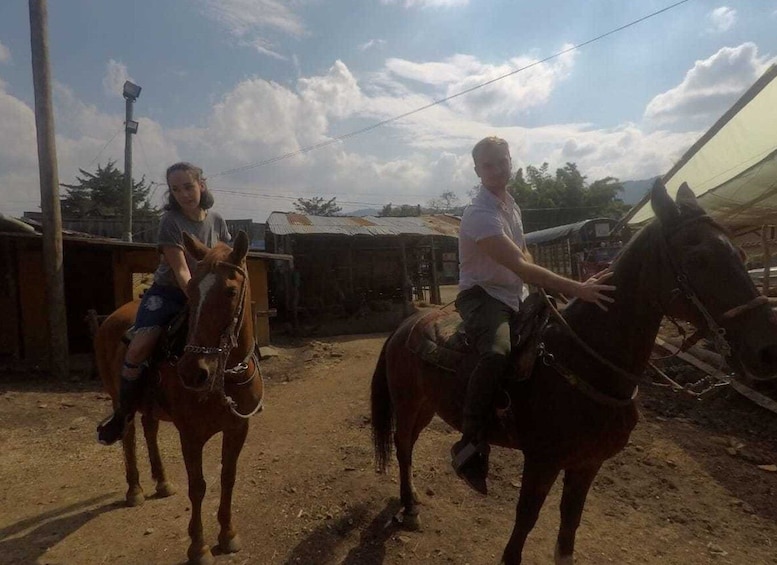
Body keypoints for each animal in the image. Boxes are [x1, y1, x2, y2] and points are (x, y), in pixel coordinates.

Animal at [93, 230, 264, 564]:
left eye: (229, 291)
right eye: (192, 291)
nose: (192, 372)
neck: (224, 376)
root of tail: (110, 318)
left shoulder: (238, 428)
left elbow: (228, 477)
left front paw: (228, 535)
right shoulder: (191, 435)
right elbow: (197, 487)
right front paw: (198, 548)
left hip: (150, 405)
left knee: (149, 429)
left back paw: (161, 481)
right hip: (119, 398)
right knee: (129, 435)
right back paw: (134, 489)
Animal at [368, 181, 776, 564]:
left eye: (741, 254)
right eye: (699, 258)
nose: (766, 350)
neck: (585, 361)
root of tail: (406, 326)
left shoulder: (587, 464)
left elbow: (569, 525)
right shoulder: (542, 462)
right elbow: (525, 523)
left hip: (427, 406)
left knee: (409, 445)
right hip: (408, 404)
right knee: (402, 447)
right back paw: (410, 508)